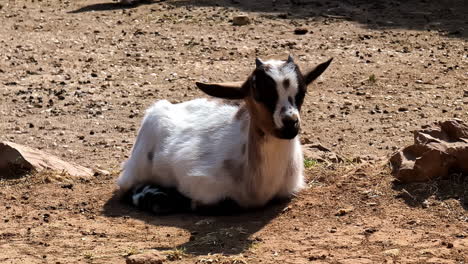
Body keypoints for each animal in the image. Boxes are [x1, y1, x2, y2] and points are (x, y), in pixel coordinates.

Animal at [117, 54, 332, 213]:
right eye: (258, 92)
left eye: (302, 93)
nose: (290, 123)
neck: (258, 187)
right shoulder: (201, 186)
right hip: (138, 166)